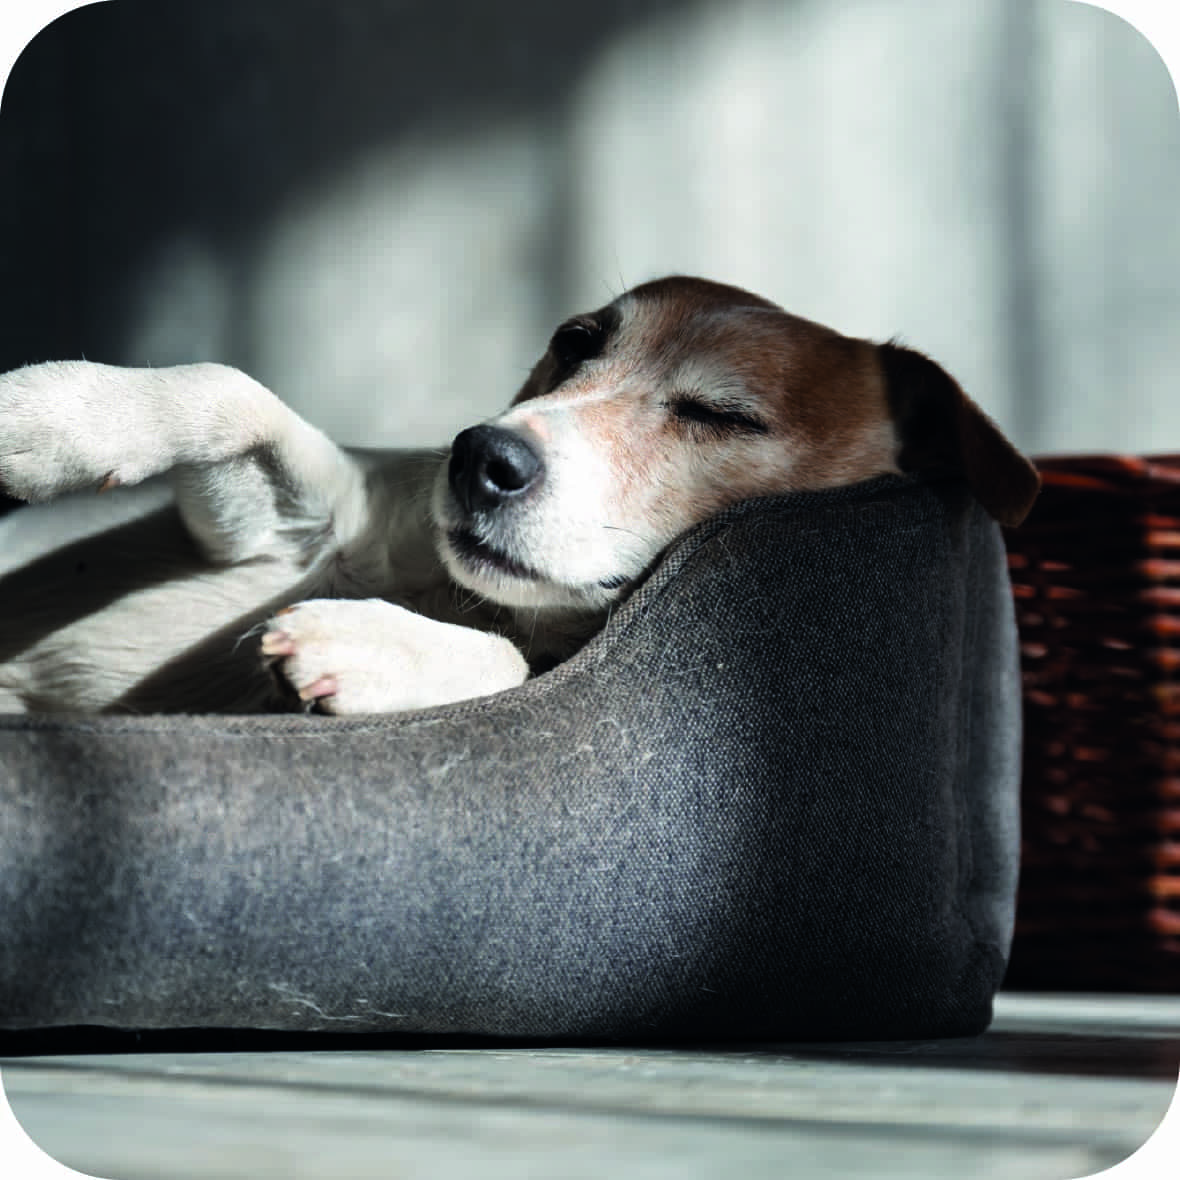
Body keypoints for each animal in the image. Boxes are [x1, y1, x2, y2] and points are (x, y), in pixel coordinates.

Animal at [0, 275, 1040, 715]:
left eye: (724, 416)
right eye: (575, 341)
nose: (481, 456)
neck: (458, 594)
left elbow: (506, 662)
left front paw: (368, 648)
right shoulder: (272, 531)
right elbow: (229, 389)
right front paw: (47, 416)